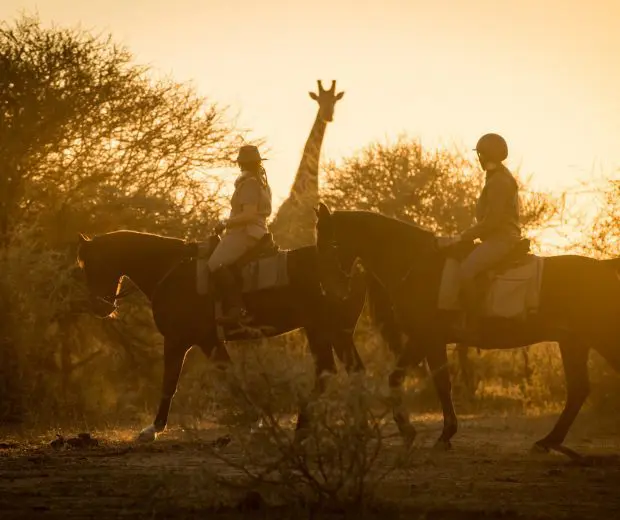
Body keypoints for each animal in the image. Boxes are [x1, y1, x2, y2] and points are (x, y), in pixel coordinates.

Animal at [75, 230, 380, 440]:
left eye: (90, 265)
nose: (99, 307)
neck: (171, 270)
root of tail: (355, 266)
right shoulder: (206, 341)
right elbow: (227, 376)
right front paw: (256, 419)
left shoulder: (182, 341)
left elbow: (171, 382)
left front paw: (153, 429)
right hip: (324, 331)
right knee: (342, 371)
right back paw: (338, 428)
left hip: (328, 330)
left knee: (340, 371)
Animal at [312, 203, 620, 456]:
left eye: (331, 244)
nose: (331, 290)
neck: (416, 263)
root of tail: (605, 269)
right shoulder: (421, 340)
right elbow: (402, 379)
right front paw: (414, 432)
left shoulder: (428, 338)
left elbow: (436, 383)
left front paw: (438, 435)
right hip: (573, 343)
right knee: (578, 390)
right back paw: (548, 441)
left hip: (599, 339)